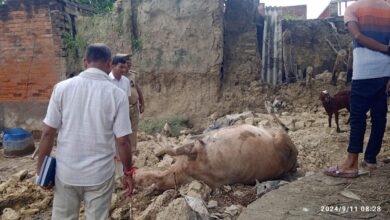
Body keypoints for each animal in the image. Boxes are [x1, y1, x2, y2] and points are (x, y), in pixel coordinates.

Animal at [133, 108, 298, 189]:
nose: (133, 176)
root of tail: (294, 160)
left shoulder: (195, 149)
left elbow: (174, 147)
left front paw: (164, 132)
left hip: (281, 140)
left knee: (283, 128)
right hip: (281, 140)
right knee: (281, 128)